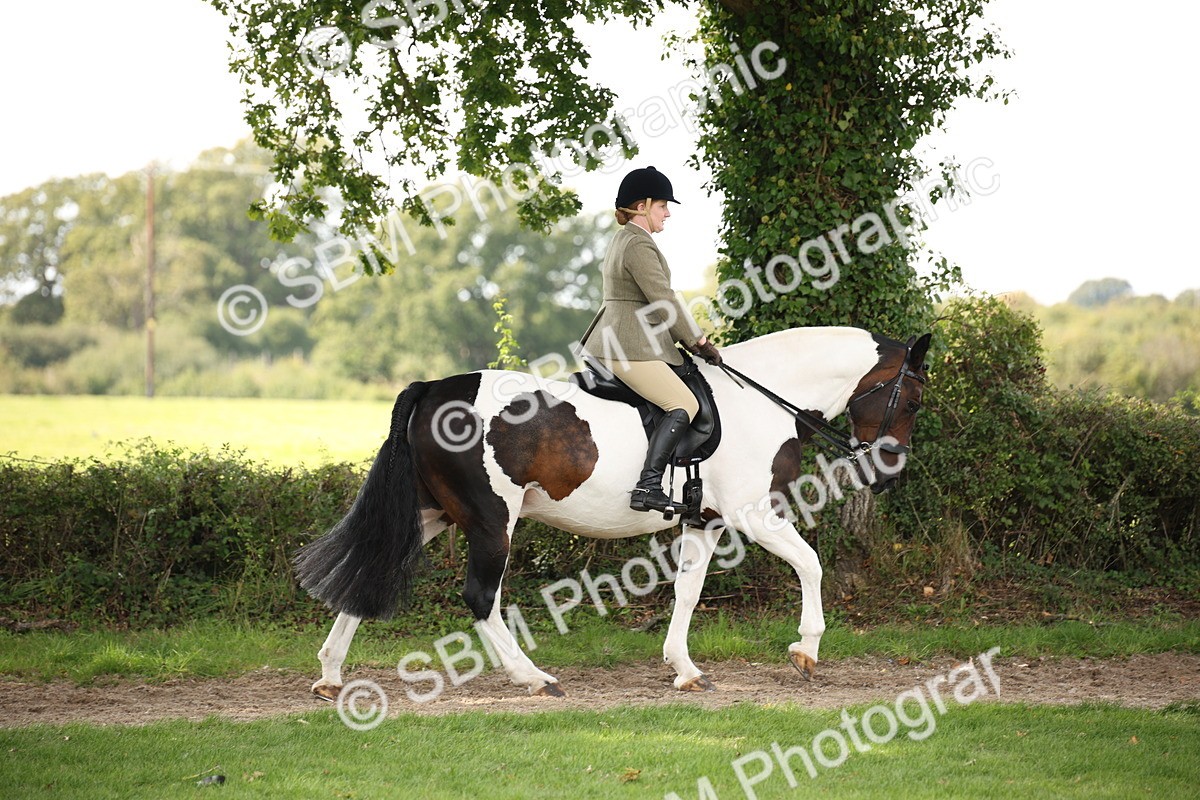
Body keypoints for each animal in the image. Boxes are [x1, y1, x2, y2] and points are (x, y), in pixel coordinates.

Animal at [295, 326, 931, 699]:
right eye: (913, 399)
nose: (888, 473)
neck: (760, 398)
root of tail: (432, 387)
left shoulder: (706, 519)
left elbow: (688, 591)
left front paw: (684, 668)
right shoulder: (755, 513)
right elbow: (811, 565)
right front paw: (806, 652)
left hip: (435, 515)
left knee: (373, 567)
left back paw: (329, 674)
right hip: (492, 520)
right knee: (480, 597)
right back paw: (533, 678)